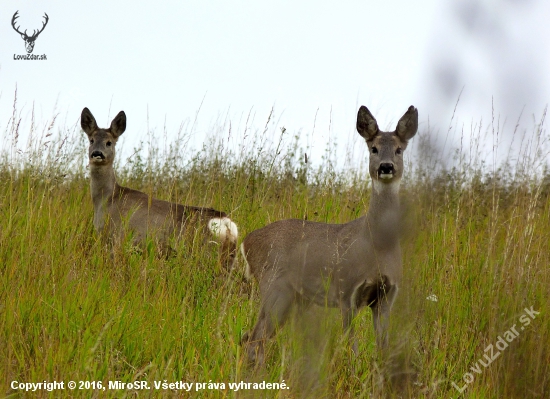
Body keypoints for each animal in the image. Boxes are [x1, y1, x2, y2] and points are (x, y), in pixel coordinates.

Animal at [80, 108, 239, 270]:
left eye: (109, 142)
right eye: (91, 140)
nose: (97, 153)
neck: (107, 199)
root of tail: (227, 224)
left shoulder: (116, 238)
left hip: (206, 252)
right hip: (228, 258)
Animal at [242, 104, 418, 364]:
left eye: (399, 149)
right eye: (373, 148)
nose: (386, 167)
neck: (376, 247)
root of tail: (247, 241)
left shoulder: (387, 296)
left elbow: (382, 348)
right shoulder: (346, 291)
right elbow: (352, 349)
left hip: (291, 296)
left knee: (256, 339)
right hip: (273, 286)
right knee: (254, 339)